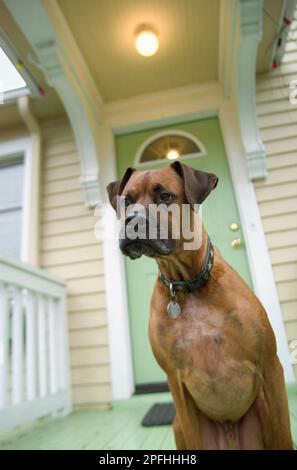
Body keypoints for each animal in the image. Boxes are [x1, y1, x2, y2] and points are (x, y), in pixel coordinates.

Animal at [106, 162, 292, 452]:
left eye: (165, 196)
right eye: (126, 201)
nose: (132, 221)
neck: (188, 286)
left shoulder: (270, 367)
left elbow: (282, 432)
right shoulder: (176, 383)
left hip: (261, 405)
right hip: (177, 424)